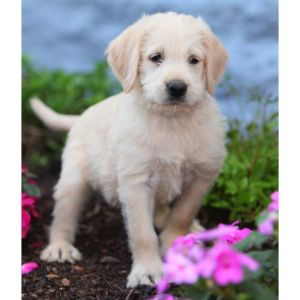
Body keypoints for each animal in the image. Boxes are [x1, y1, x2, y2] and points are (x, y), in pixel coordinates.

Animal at [29, 12, 227, 288]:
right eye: (156, 57)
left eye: (194, 60)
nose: (177, 87)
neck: (172, 121)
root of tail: (80, 117)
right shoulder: (136, 183)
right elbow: (143, 232)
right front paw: (147, 271)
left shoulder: (202, 176)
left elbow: (181, 215)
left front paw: (178, 247)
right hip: (74, 179)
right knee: (63, 216)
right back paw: (60, 247)